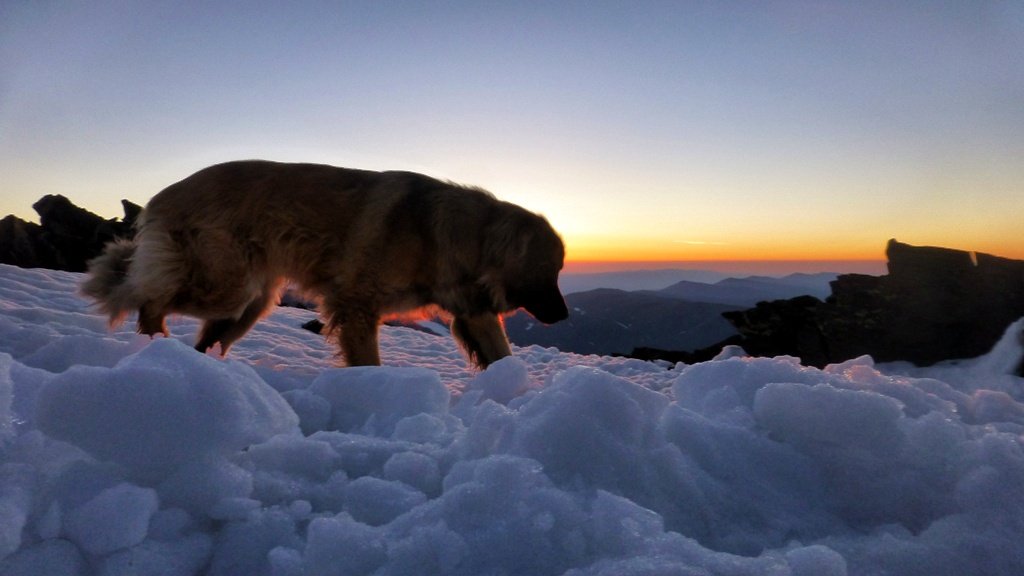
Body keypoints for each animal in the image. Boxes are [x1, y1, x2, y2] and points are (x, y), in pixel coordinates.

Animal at [81, 159, 569, 366]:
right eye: (549, 272)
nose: (565, 316)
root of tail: (165, 193)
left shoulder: (473, 310)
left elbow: (501, 355)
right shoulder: (357, 305)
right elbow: (367, 362)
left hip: (248, 304)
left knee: (202, 336)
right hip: (224, 287)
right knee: (146, 296)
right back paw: (152, 344)